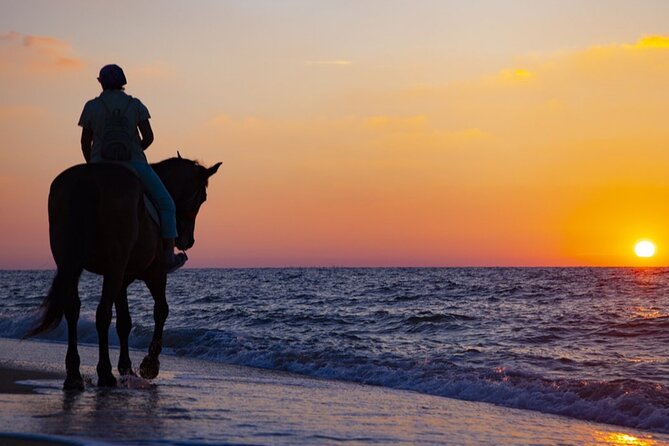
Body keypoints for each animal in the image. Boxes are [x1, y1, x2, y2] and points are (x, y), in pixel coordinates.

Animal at [27, 153, 221, 390]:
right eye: (202, 197)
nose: (188, 240)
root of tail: (87, 180)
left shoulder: (122, 279)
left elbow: (124, 322)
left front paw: (126, 367)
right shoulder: (154, 273)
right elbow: (161, 310)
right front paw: (150, 365)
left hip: (72, 264)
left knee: (73, 309)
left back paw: (74, 374)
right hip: (114, 266)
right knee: (102, 314)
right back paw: (104, 373)